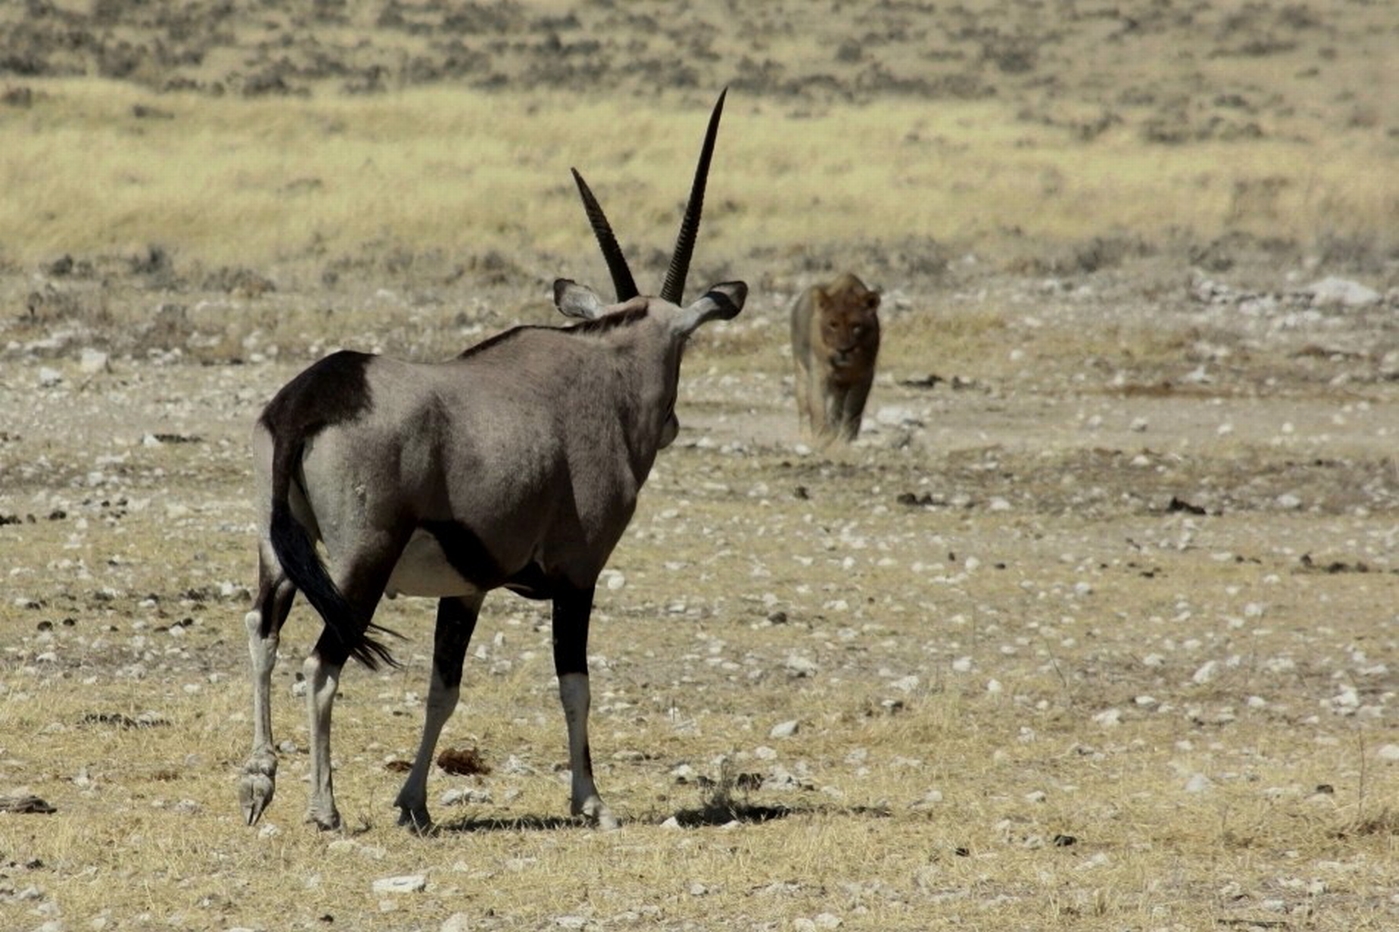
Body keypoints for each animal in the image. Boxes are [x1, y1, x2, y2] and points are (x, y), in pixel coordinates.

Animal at [794, 270, 878, 442]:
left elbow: (853, 409)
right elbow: (817, 406)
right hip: (801, 370)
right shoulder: (818, 372)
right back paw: (805, 436)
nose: (843, 350)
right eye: (833, 324)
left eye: (856, 326)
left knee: (837, 407)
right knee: (804, 407)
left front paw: (846, 438)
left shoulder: (864, 375)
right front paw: (821, 436)